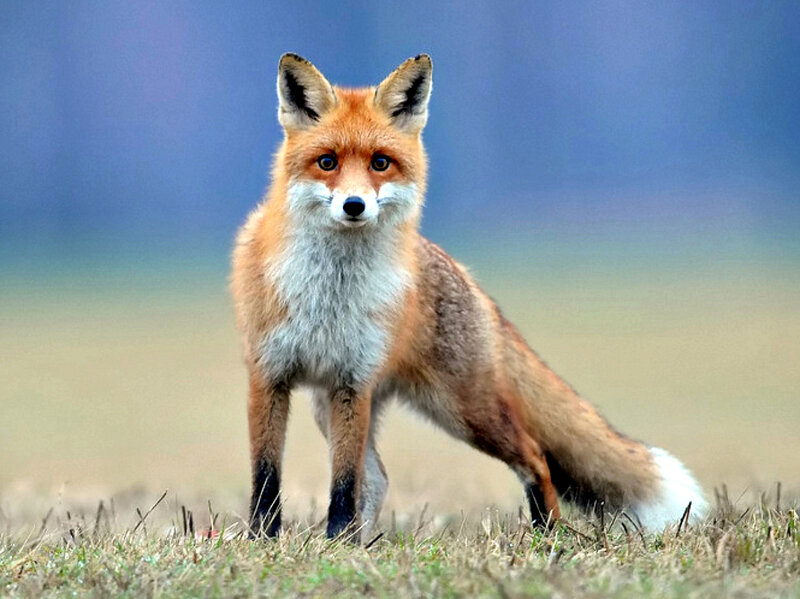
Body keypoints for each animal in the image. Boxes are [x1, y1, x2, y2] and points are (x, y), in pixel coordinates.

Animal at [231, 53, 708, 541]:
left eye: (380, 163)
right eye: (326, 162)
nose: (354, 205)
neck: (329, 293)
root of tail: (467, 277)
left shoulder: (352, 382)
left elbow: (343, 484)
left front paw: (332, 538)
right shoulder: (269, 376)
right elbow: (267, 476)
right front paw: (268, 539)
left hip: (464, 409)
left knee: (535, 456)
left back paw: (548, 537)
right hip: (335, 408)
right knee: (380, 478)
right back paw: (362, 545)